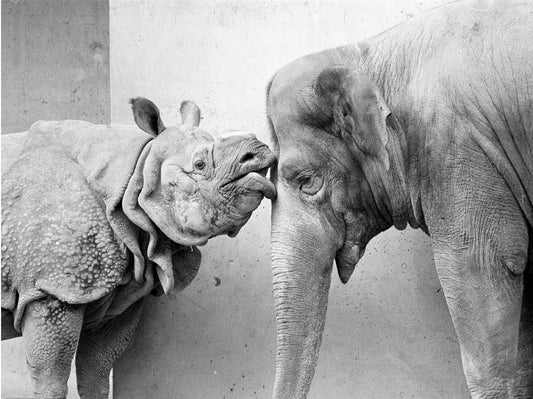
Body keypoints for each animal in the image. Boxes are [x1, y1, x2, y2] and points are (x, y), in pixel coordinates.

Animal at [0, 97, 274, 399]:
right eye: (200, 164)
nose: (258, 151)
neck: (134, 176)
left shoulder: (120, 296)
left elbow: (96, 371)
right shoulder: (52, 289)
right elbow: (51, 377)